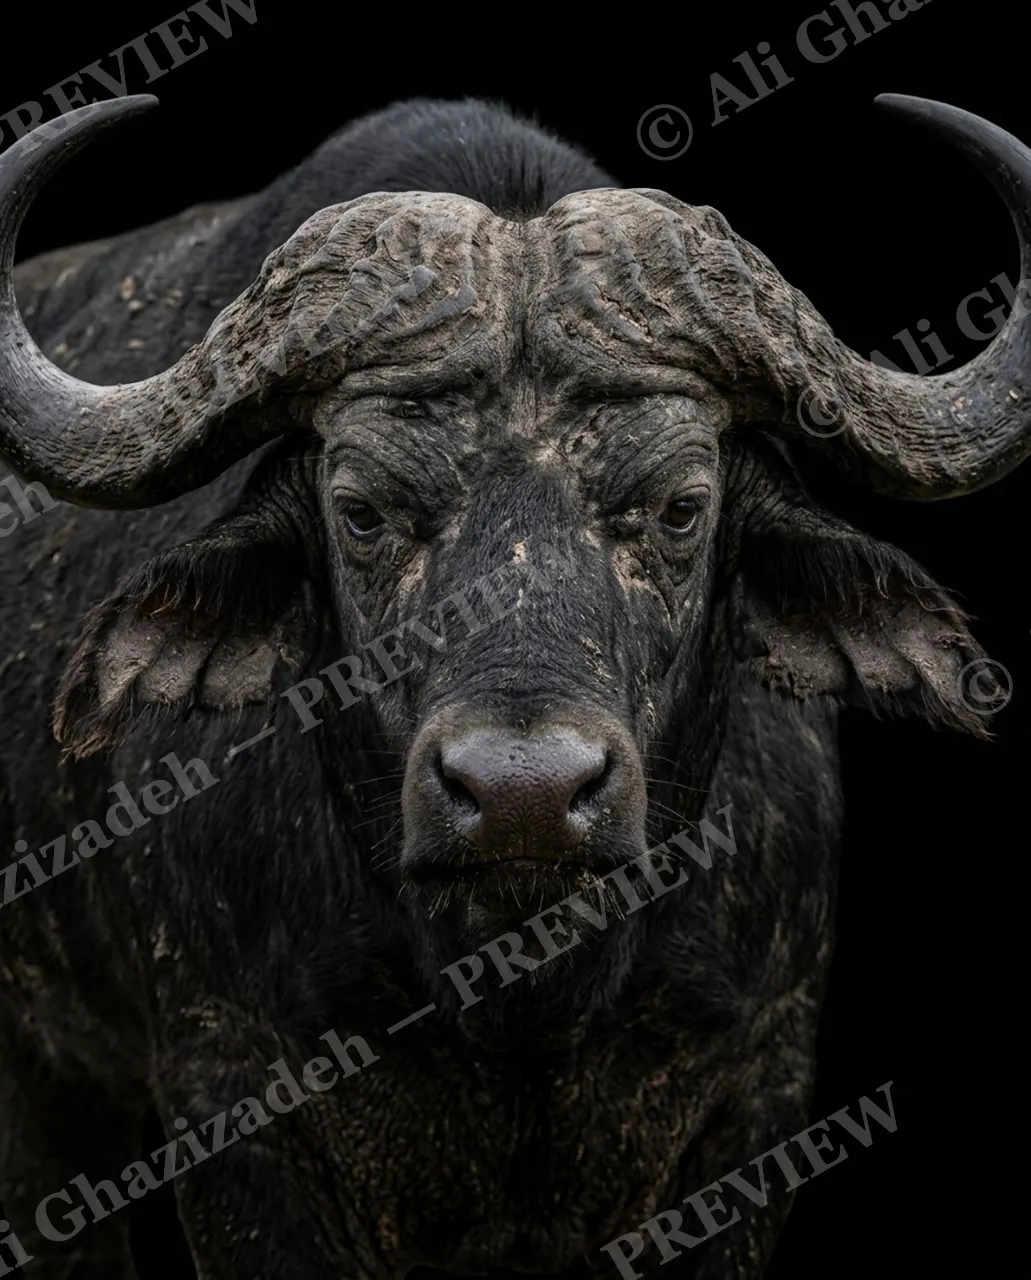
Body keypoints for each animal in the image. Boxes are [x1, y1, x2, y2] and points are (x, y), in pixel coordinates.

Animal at [0, 93, 1027, 1279]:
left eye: (681, 506)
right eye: (361, 510)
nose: (521, 795)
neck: (523, 989)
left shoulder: (757, 1089)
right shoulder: (232, 1106)